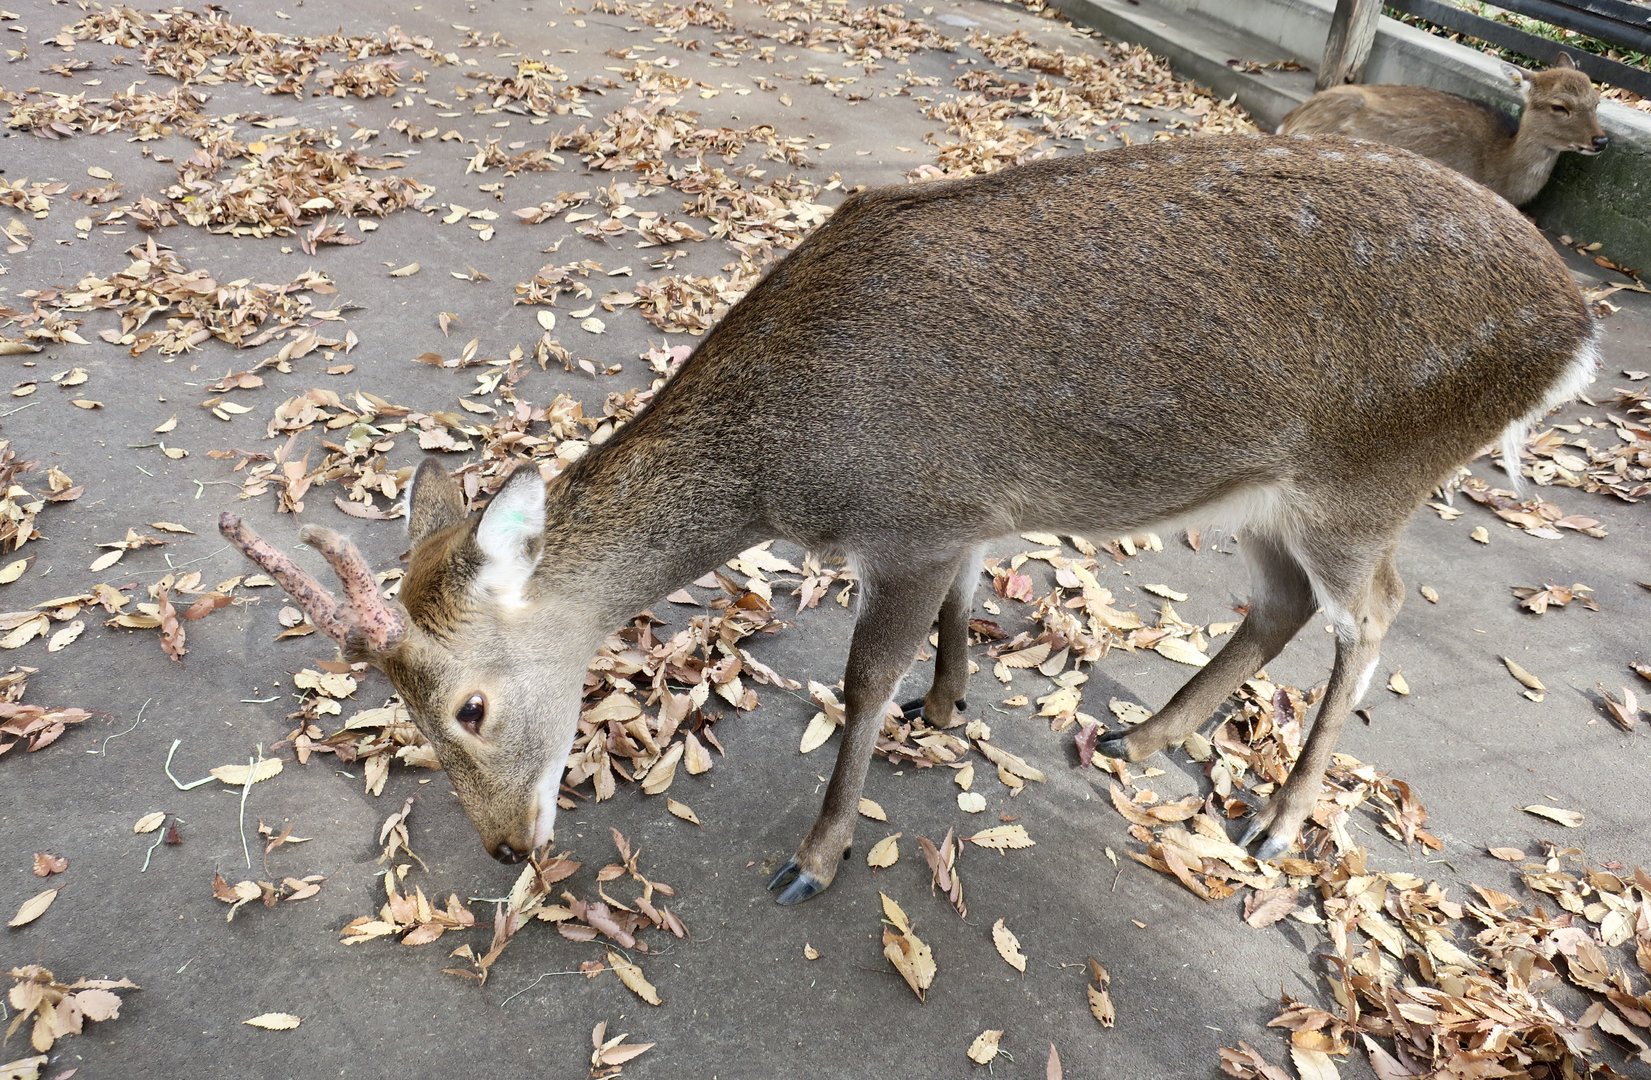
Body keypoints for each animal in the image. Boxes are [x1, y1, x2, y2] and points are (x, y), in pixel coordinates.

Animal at [222, 133, 1598, 906]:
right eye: (395, 703)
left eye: (467, 706)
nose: (508, 847)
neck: (789, 469)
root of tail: (1574, 331)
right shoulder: (968, 511)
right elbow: (967, 610)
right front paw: (951, 707)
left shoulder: (917, 513)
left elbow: (860, 676)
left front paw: (816, 854)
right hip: (1269, 491)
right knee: (1282, 601)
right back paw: (1140, 737)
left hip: (1367, 478)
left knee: (1375, 612)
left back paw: (1273, 818)